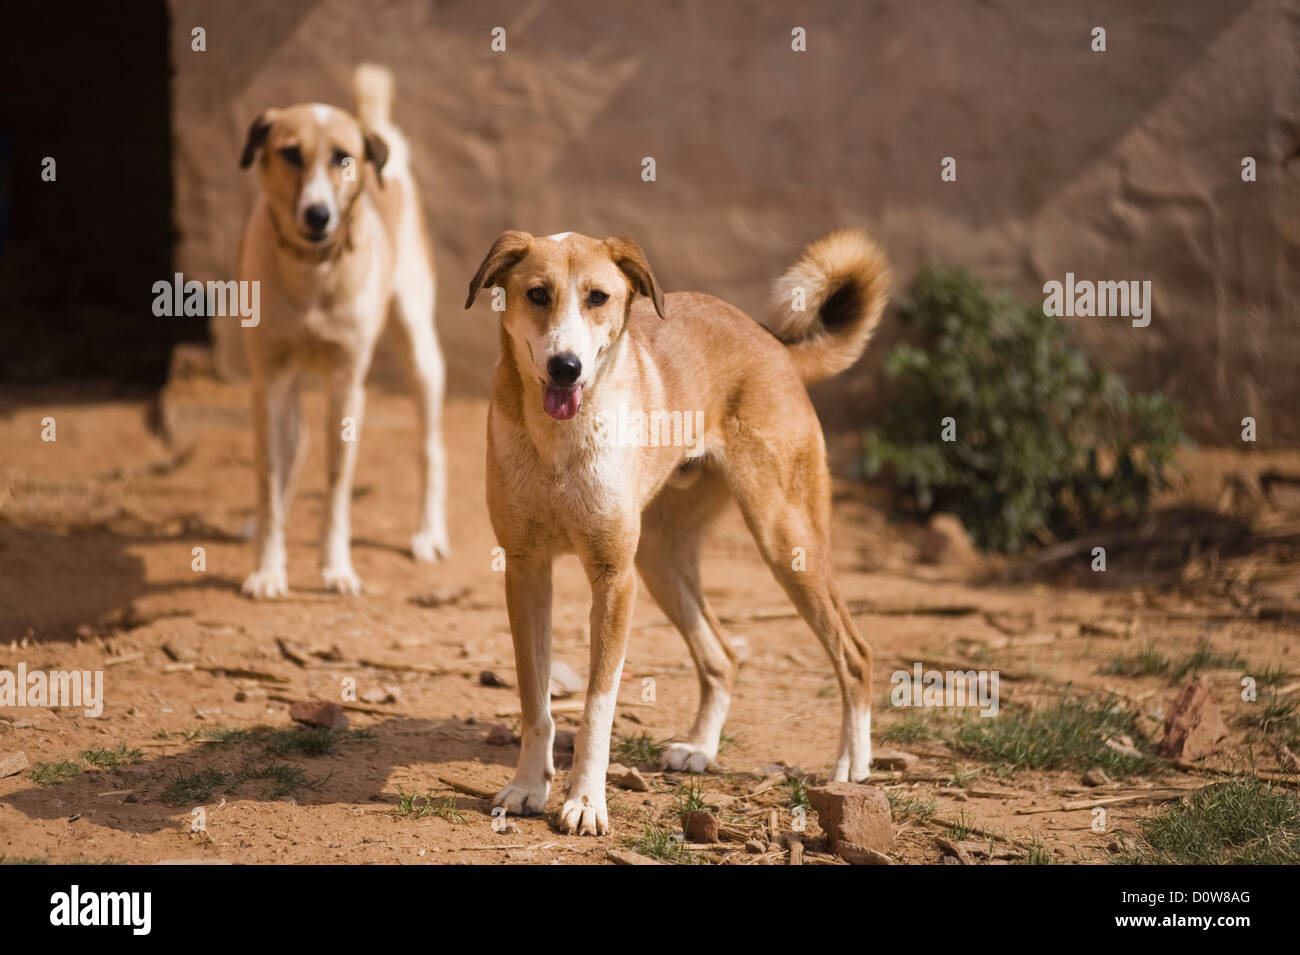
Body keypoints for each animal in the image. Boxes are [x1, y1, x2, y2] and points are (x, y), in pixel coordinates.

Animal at [236, 61, 449, 597]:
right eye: (290, 154)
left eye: (343, 158)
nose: (318, 216)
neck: (312, 272)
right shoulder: (268, 382)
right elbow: (268, 478)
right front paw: (268, 568)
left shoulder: (347, 387)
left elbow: (336, 488)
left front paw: (335, 569)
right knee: (291, 450)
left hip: (421, 351)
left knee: (431, 448)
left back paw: (429, 534)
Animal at [470, 227, 894, 831]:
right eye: (536, 294)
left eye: (598, 297)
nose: (565, 367)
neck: (560, 442)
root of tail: (773, 343)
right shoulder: (525, 570)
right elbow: (535, 700)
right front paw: (529, 786)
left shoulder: (613, 578)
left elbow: (598, 708)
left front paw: (585, 803)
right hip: (660, 560)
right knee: (723, 656)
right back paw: (700, 749)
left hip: (784, 538)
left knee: (855, 653)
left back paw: (851, 765)